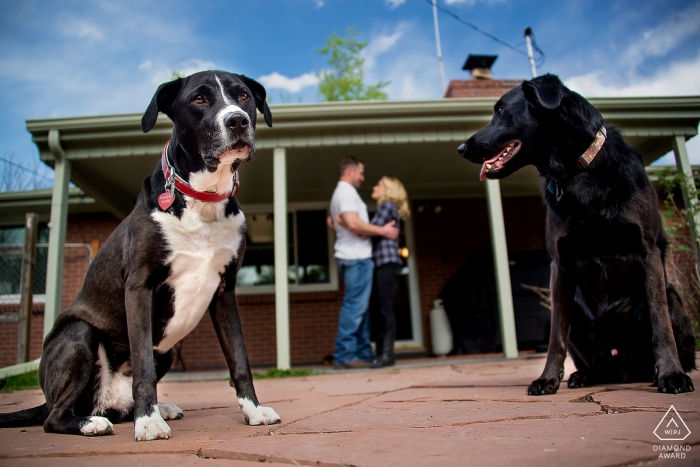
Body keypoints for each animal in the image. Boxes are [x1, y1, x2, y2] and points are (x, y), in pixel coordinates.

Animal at [0, 70, 278, 442]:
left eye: (244, 95)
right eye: (199, 99)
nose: (237, 120)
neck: (201, 198)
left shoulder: (224, 292)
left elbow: (239, 359)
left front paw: (254, 410)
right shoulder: (140, 288)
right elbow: (143, 365)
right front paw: (147, 421)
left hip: (167, 352)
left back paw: (154, 409)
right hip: (79, 334)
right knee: (54, 417)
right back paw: (95, 422)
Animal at [460, 75, 696, 396]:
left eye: (500, 111)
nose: (461, 147)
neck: (577, 173)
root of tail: (626, 371)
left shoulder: (648, 253)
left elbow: (661, 326)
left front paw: (671, 374)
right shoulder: (560, 265)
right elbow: (556, 336)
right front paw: (547, 378)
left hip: (673, 299)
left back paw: (657, 373)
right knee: (595, 363)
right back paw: (582, 376)